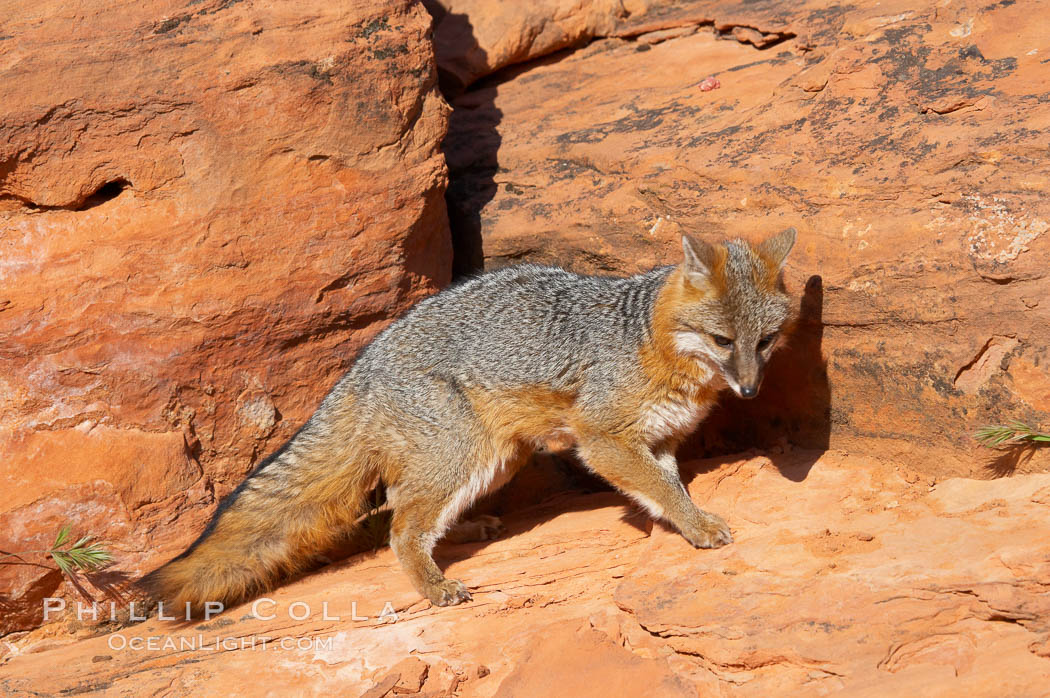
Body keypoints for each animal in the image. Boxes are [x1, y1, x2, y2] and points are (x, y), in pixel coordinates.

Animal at [139, 227, 793, 608]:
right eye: (722, 339)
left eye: (764, 341)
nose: (751, 390)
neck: (652, 341)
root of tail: (366, 359)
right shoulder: (602, 438)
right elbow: (661, 488)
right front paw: (699, 527)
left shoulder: (657, 441)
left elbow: (666, 486)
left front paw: (686, 520)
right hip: (462, 456)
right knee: (400, 527)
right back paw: (434, 585)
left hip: (494, 461)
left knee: (402, 511)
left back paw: (465, 533)